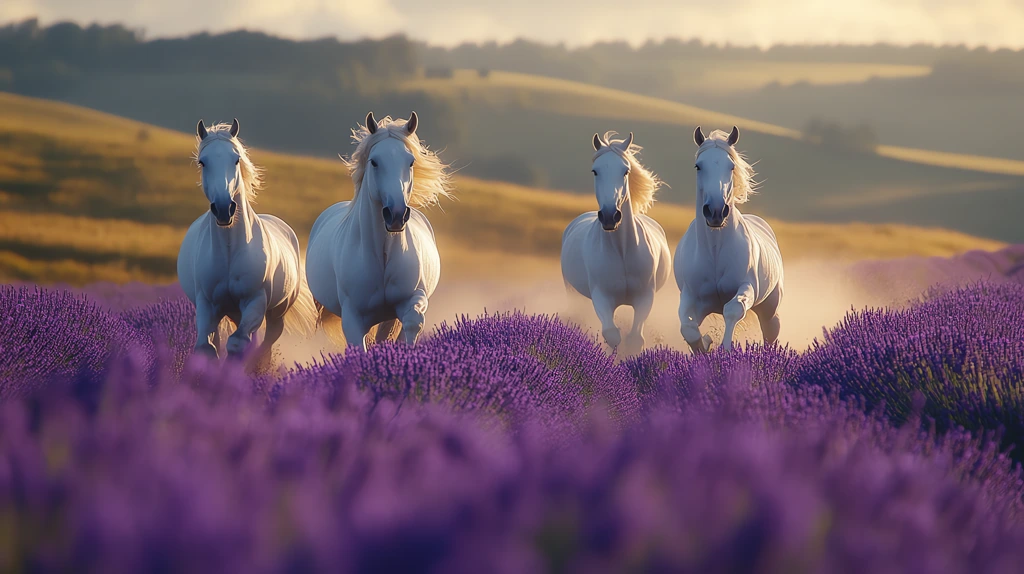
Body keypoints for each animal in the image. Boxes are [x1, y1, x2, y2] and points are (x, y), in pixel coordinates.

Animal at [177, 118, 315, 362]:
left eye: (236, 159)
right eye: (203, 162)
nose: (224, 209)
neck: (230, 250)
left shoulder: (254, 302)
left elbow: (238, 343)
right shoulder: (207, 305)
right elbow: (206, 347)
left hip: (275, 313)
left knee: (266, 343)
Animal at [303, 109, 448, 347]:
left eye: (410, 162)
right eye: (374, 162)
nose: (396, 214)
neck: (382, 254)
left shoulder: (413, 299)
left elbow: (412, 322)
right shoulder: (353, 319)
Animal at [561, 131, 671, 354]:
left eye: (625, 171)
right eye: (595, 171)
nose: (610, 216)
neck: (622, 251)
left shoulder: (645, 297)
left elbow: (635, 339)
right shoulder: (602, 297)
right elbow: (612, 335)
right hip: (574, 293)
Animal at [675, 125, 778, 351]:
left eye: (731, 166)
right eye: (698, 166)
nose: (715, 211)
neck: (715, 251)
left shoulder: (747, 287)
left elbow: (733, 309)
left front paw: (725, 349)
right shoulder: (691, 298)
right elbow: (688, 328)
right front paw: (705, 345)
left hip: (769, 309)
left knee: (771, 333)